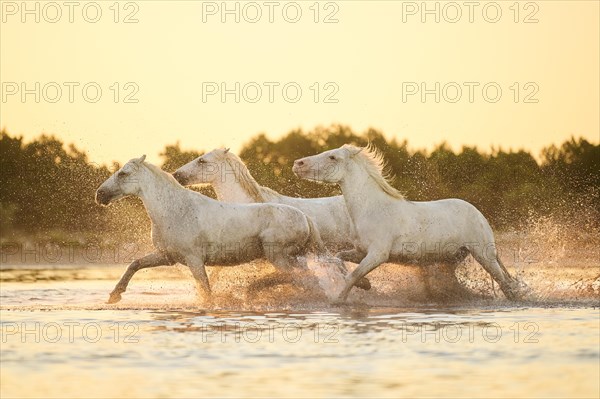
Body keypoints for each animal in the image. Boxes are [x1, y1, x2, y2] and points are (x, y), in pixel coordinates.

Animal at [96, 155, 326, 304]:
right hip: (292, 257)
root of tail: (304, 217)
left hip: (278, 256)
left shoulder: (194, 260)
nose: (100, 194)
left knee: (298, 277)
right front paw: (114, 296)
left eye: (123, 173)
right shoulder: (167, 256)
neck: (176, 210)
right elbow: (135, 264)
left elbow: (206, 290)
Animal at [292, 145, 528, 304]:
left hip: (484, 255)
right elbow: (340, 259)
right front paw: (365, 285)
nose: (297, 164)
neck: (372, 208)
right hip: (452, 258)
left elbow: (353, 274)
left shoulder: (378, 255)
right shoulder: (360, 251)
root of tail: (478, 214)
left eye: (332, 157)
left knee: (505, 284)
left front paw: (339, 300)